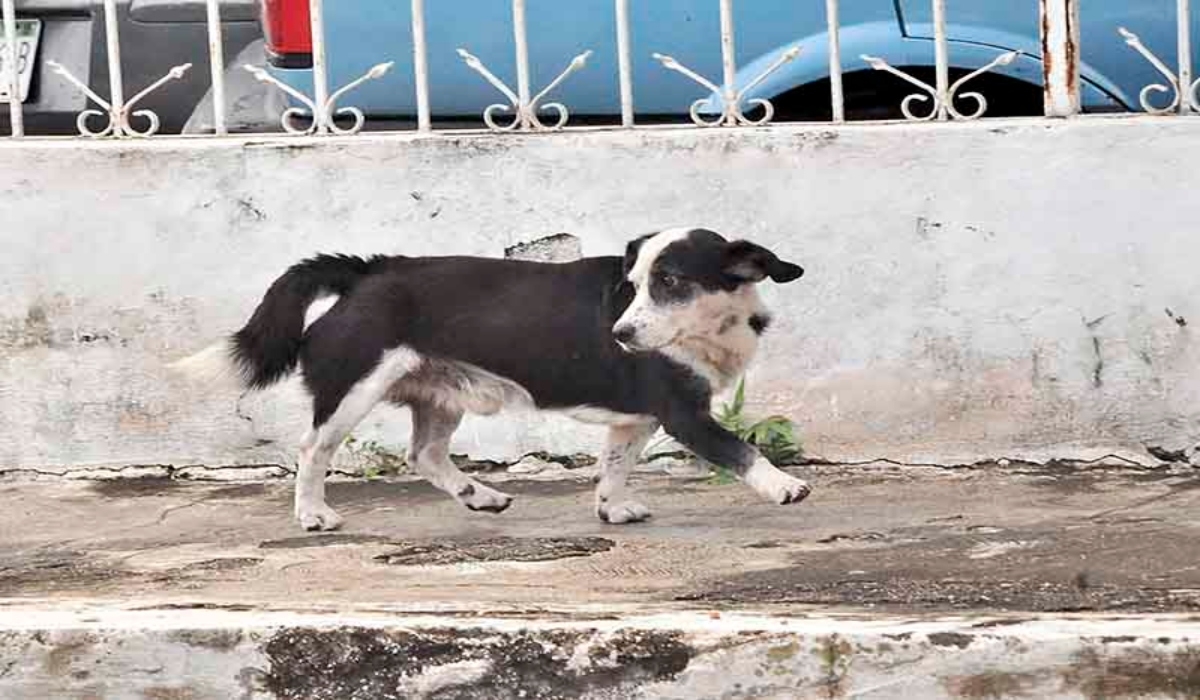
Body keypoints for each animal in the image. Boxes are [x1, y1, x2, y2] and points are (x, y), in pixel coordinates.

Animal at [174, 228, 811, 530]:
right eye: (633, 285)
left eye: (672, 282)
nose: (623, 334)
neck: (712, 326)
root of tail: (366, 271)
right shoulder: (683, 415)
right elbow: (740, 451)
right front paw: (782, 486)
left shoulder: (637, 420)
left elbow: (613, 467)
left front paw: (611, 508)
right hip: (352, 388)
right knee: (313, 450)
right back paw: (313, 515)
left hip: (441, 394)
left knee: (425, 455)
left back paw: (478, 496)